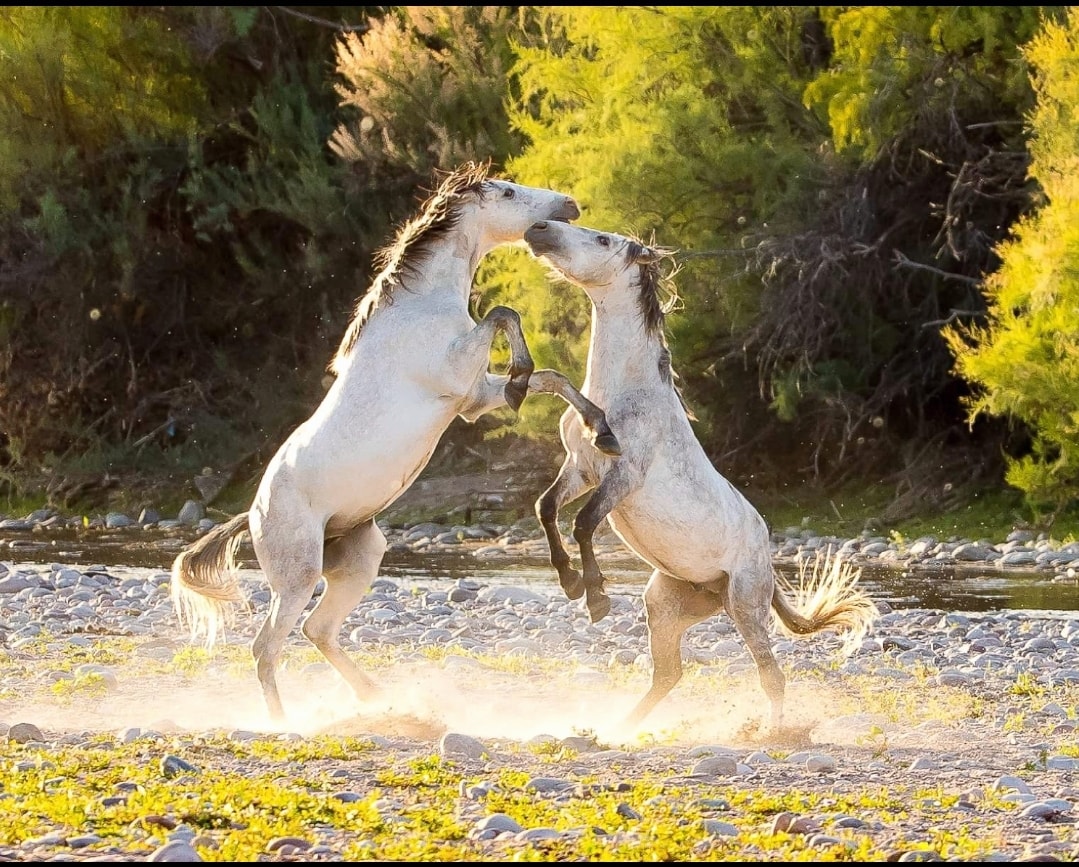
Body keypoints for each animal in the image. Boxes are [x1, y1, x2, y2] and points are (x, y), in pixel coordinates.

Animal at [171, 163, 621, 724]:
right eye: (508, 192)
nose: (568, 206)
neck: (420, 307)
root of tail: (252, 512)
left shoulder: (474, 396)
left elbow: (551, 377)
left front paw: (602, 430)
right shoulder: (461, 377)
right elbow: (504, 314)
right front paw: (530, 383)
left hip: (360, 558)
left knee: (317, 630)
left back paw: (376, 698)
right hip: (297, 576)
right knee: (266, 646)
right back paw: (285, 723)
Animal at [522, 218, 876, 733]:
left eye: (603, 239)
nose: (540, 228)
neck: (623, 391)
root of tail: (767, 561)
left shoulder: (624, 477)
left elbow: (583, 523)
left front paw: (596, 599)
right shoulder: (580, 469)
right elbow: (546, 507)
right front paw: (571, 583)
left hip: (745, 606)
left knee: (771, 675)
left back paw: (770, 731)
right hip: (667, 606)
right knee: (669, 674)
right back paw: (619, 729)